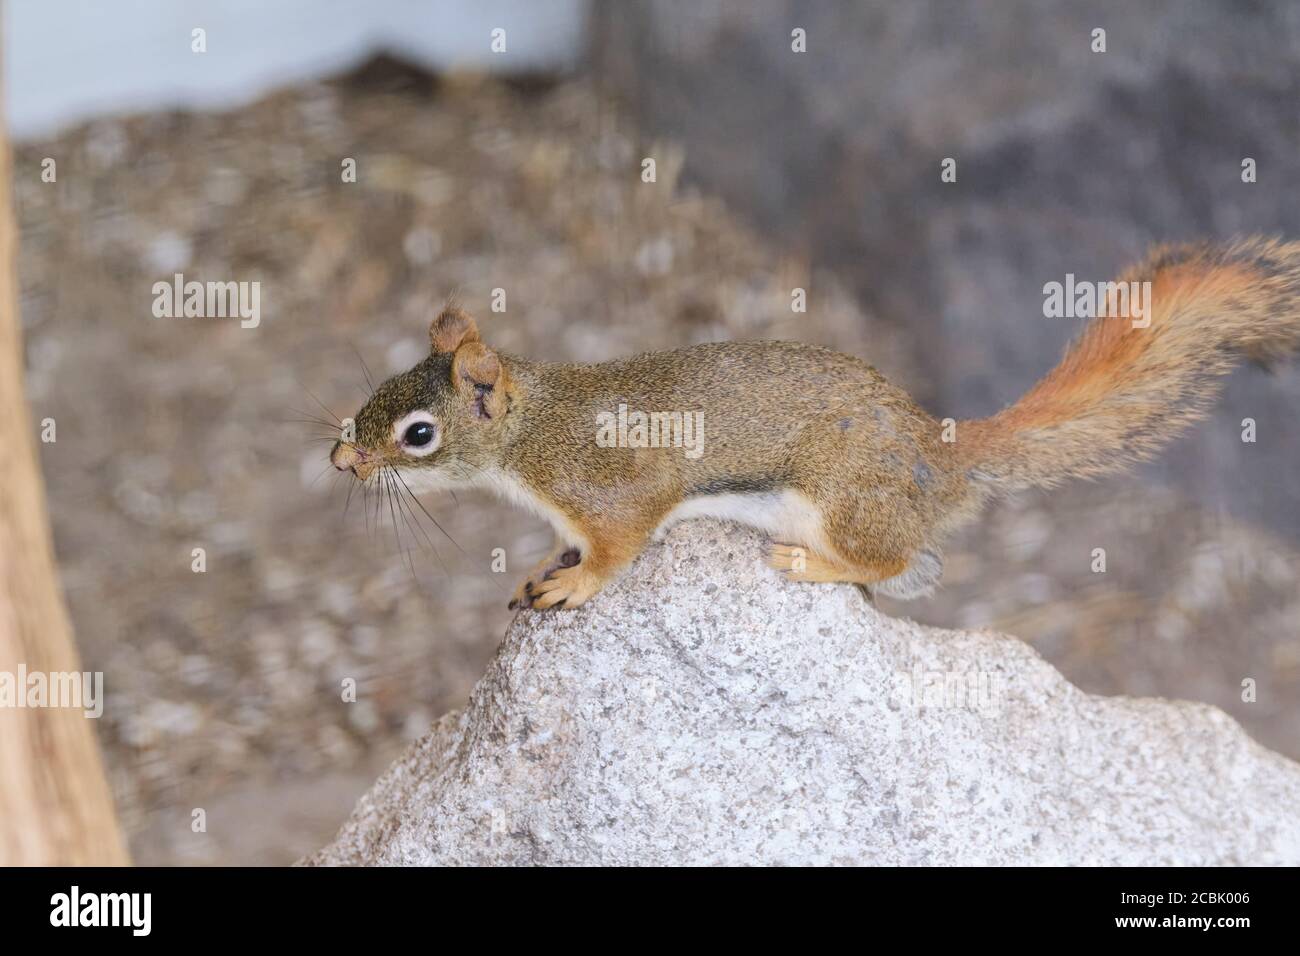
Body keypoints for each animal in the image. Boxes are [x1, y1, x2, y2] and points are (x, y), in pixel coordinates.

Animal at [331, 237, 1300, 610]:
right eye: (376, 385)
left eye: (417, 434)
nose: (342, 459)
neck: (531, 433)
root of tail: (940, 454)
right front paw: (547, 564)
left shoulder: (614, 491)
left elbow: (617, 549)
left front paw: (576, 585)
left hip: (845, 502)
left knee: (904, 564)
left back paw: (813, 565)